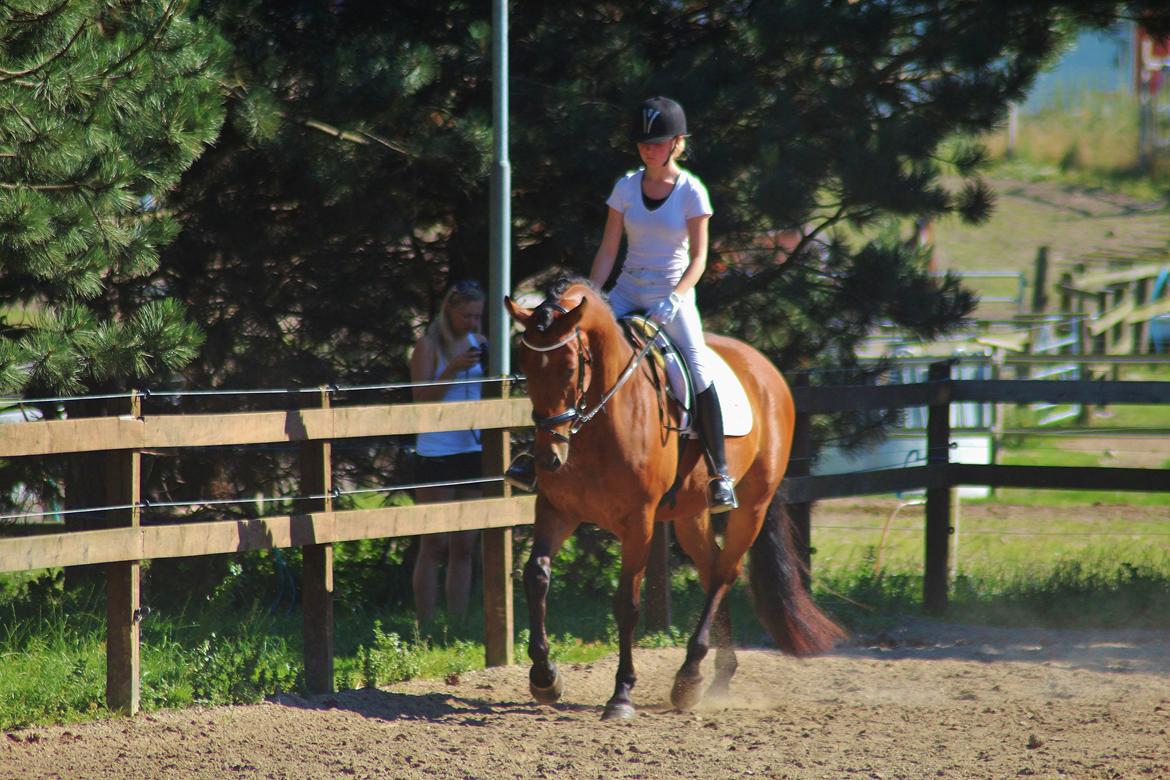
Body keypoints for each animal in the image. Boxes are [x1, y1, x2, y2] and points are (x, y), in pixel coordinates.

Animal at [503, 279, 842, 720]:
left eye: (570, 367)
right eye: (526, 366)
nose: (549, 458)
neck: (599, 420)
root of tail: (763, 366)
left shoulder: (639, 522)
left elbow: (627, 603)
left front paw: (621, 694)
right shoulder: (558, 509)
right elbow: (536, 576)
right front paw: (545, 677)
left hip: (752, 506)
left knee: (725, 572)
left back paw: (689, 674)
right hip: (689, 515)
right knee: (712, 568)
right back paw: (715, 676)